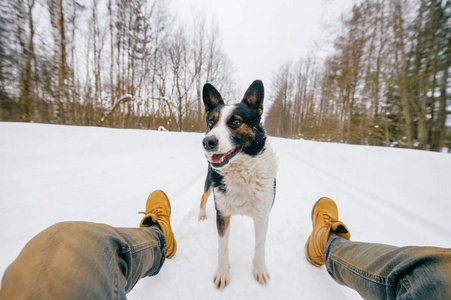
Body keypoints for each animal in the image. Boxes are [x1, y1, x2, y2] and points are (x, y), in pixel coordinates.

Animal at [199, 80, 278, 290]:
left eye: (235, 122)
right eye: (211, 122)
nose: (207, 142)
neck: (241, 171)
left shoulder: (262, 215)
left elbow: (260, 245)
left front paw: (259, 269)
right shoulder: (222, 214)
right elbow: (222, 248)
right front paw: (222, 273)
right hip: (210, 183)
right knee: (203, 197)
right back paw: (201, 216)